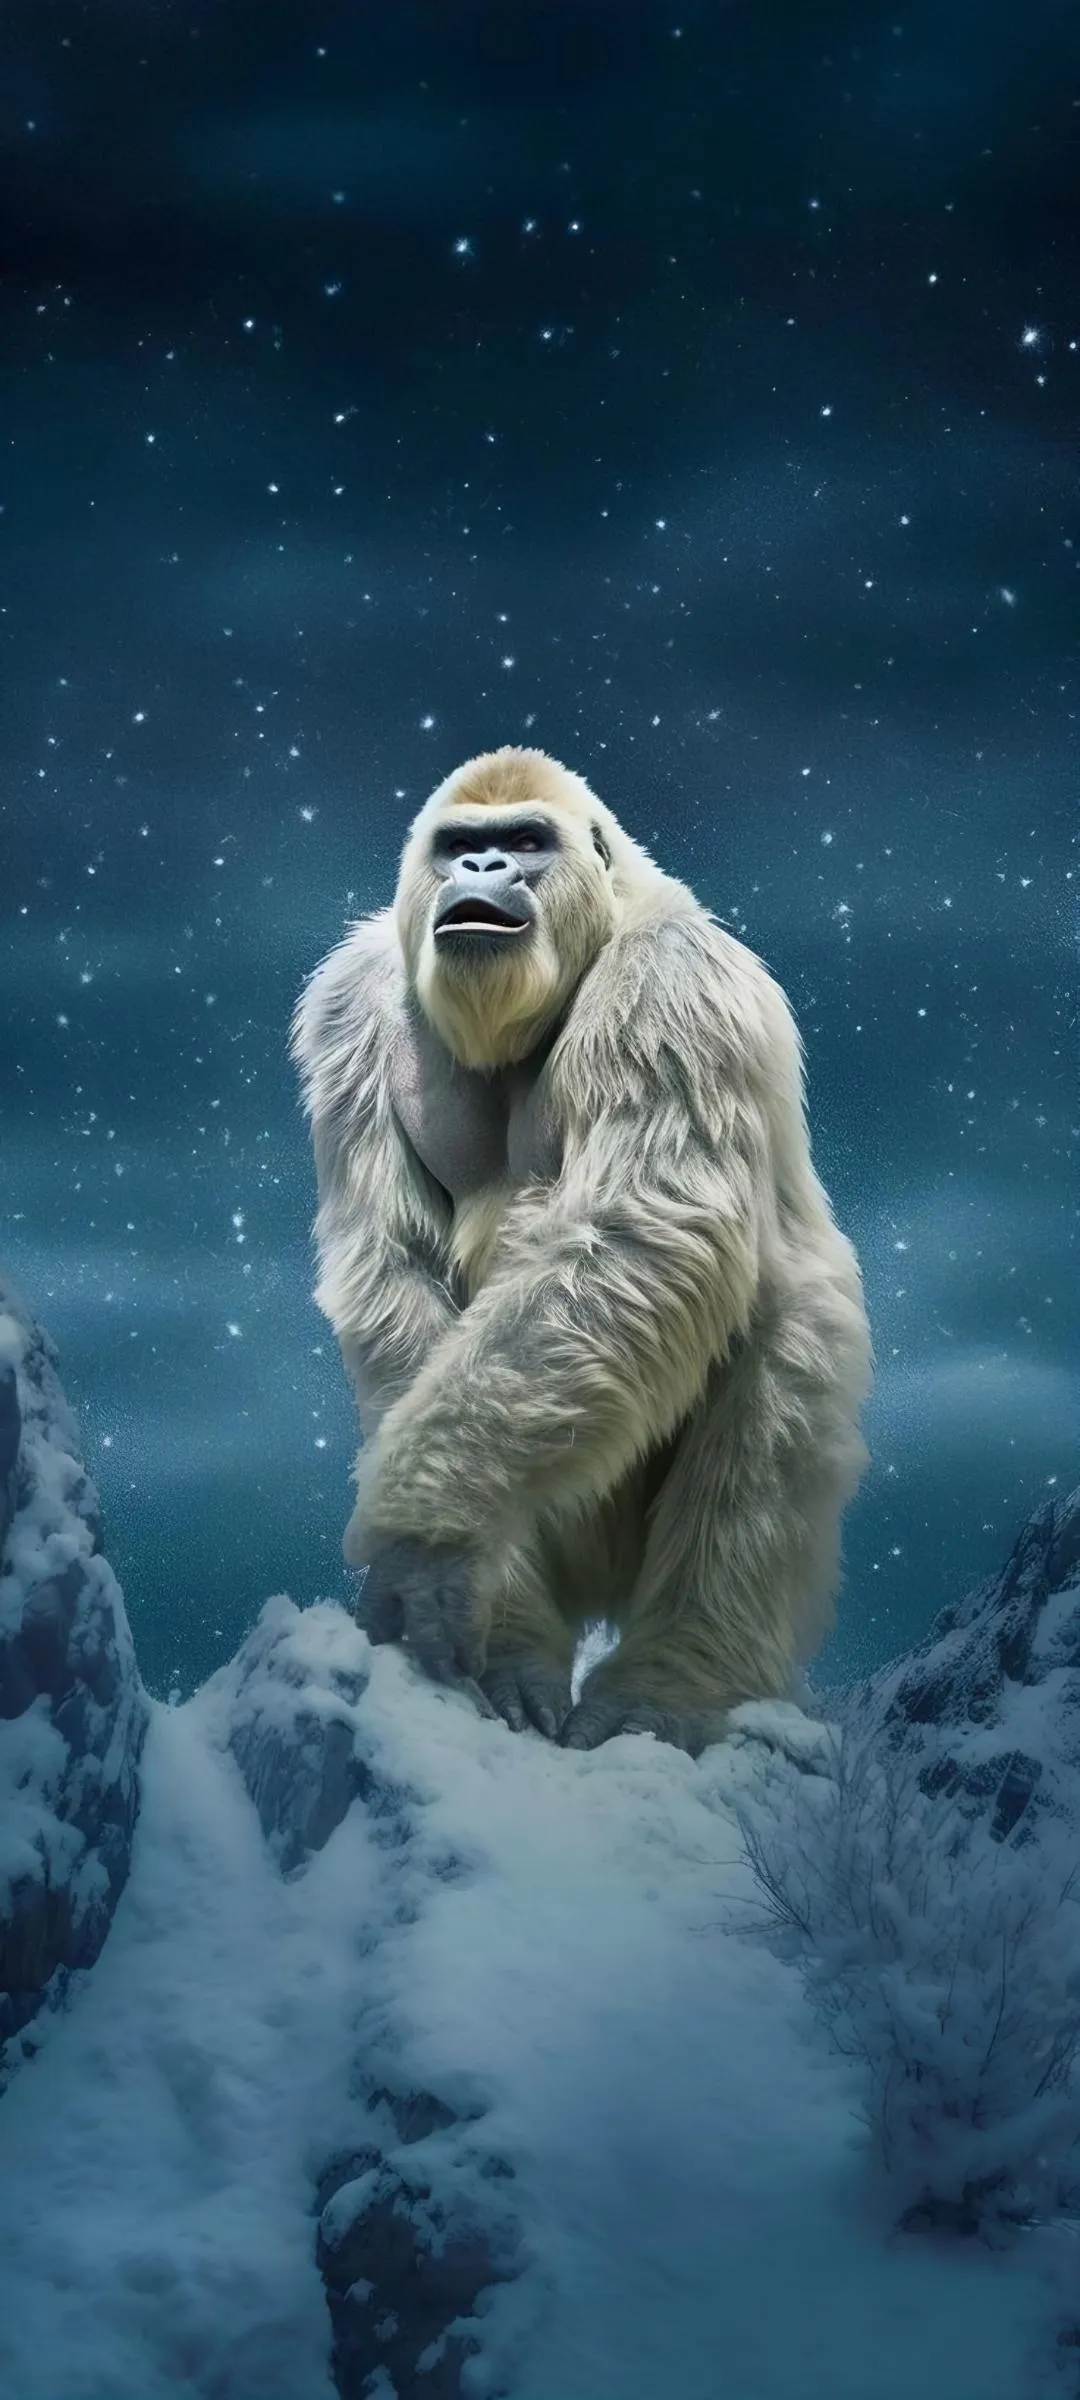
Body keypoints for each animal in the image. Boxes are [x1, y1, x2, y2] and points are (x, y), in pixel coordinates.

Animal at [291, 746, 873, 1755]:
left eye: (527, 841)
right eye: (461, 844)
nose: (485, 868)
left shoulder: (673, 977)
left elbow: (643, 1227)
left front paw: (424, 1536)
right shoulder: (346, 1006)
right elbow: (394, 1268)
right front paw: (446, 1564)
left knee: (768, 1360)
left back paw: (671, 1683)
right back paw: (516, 1644)